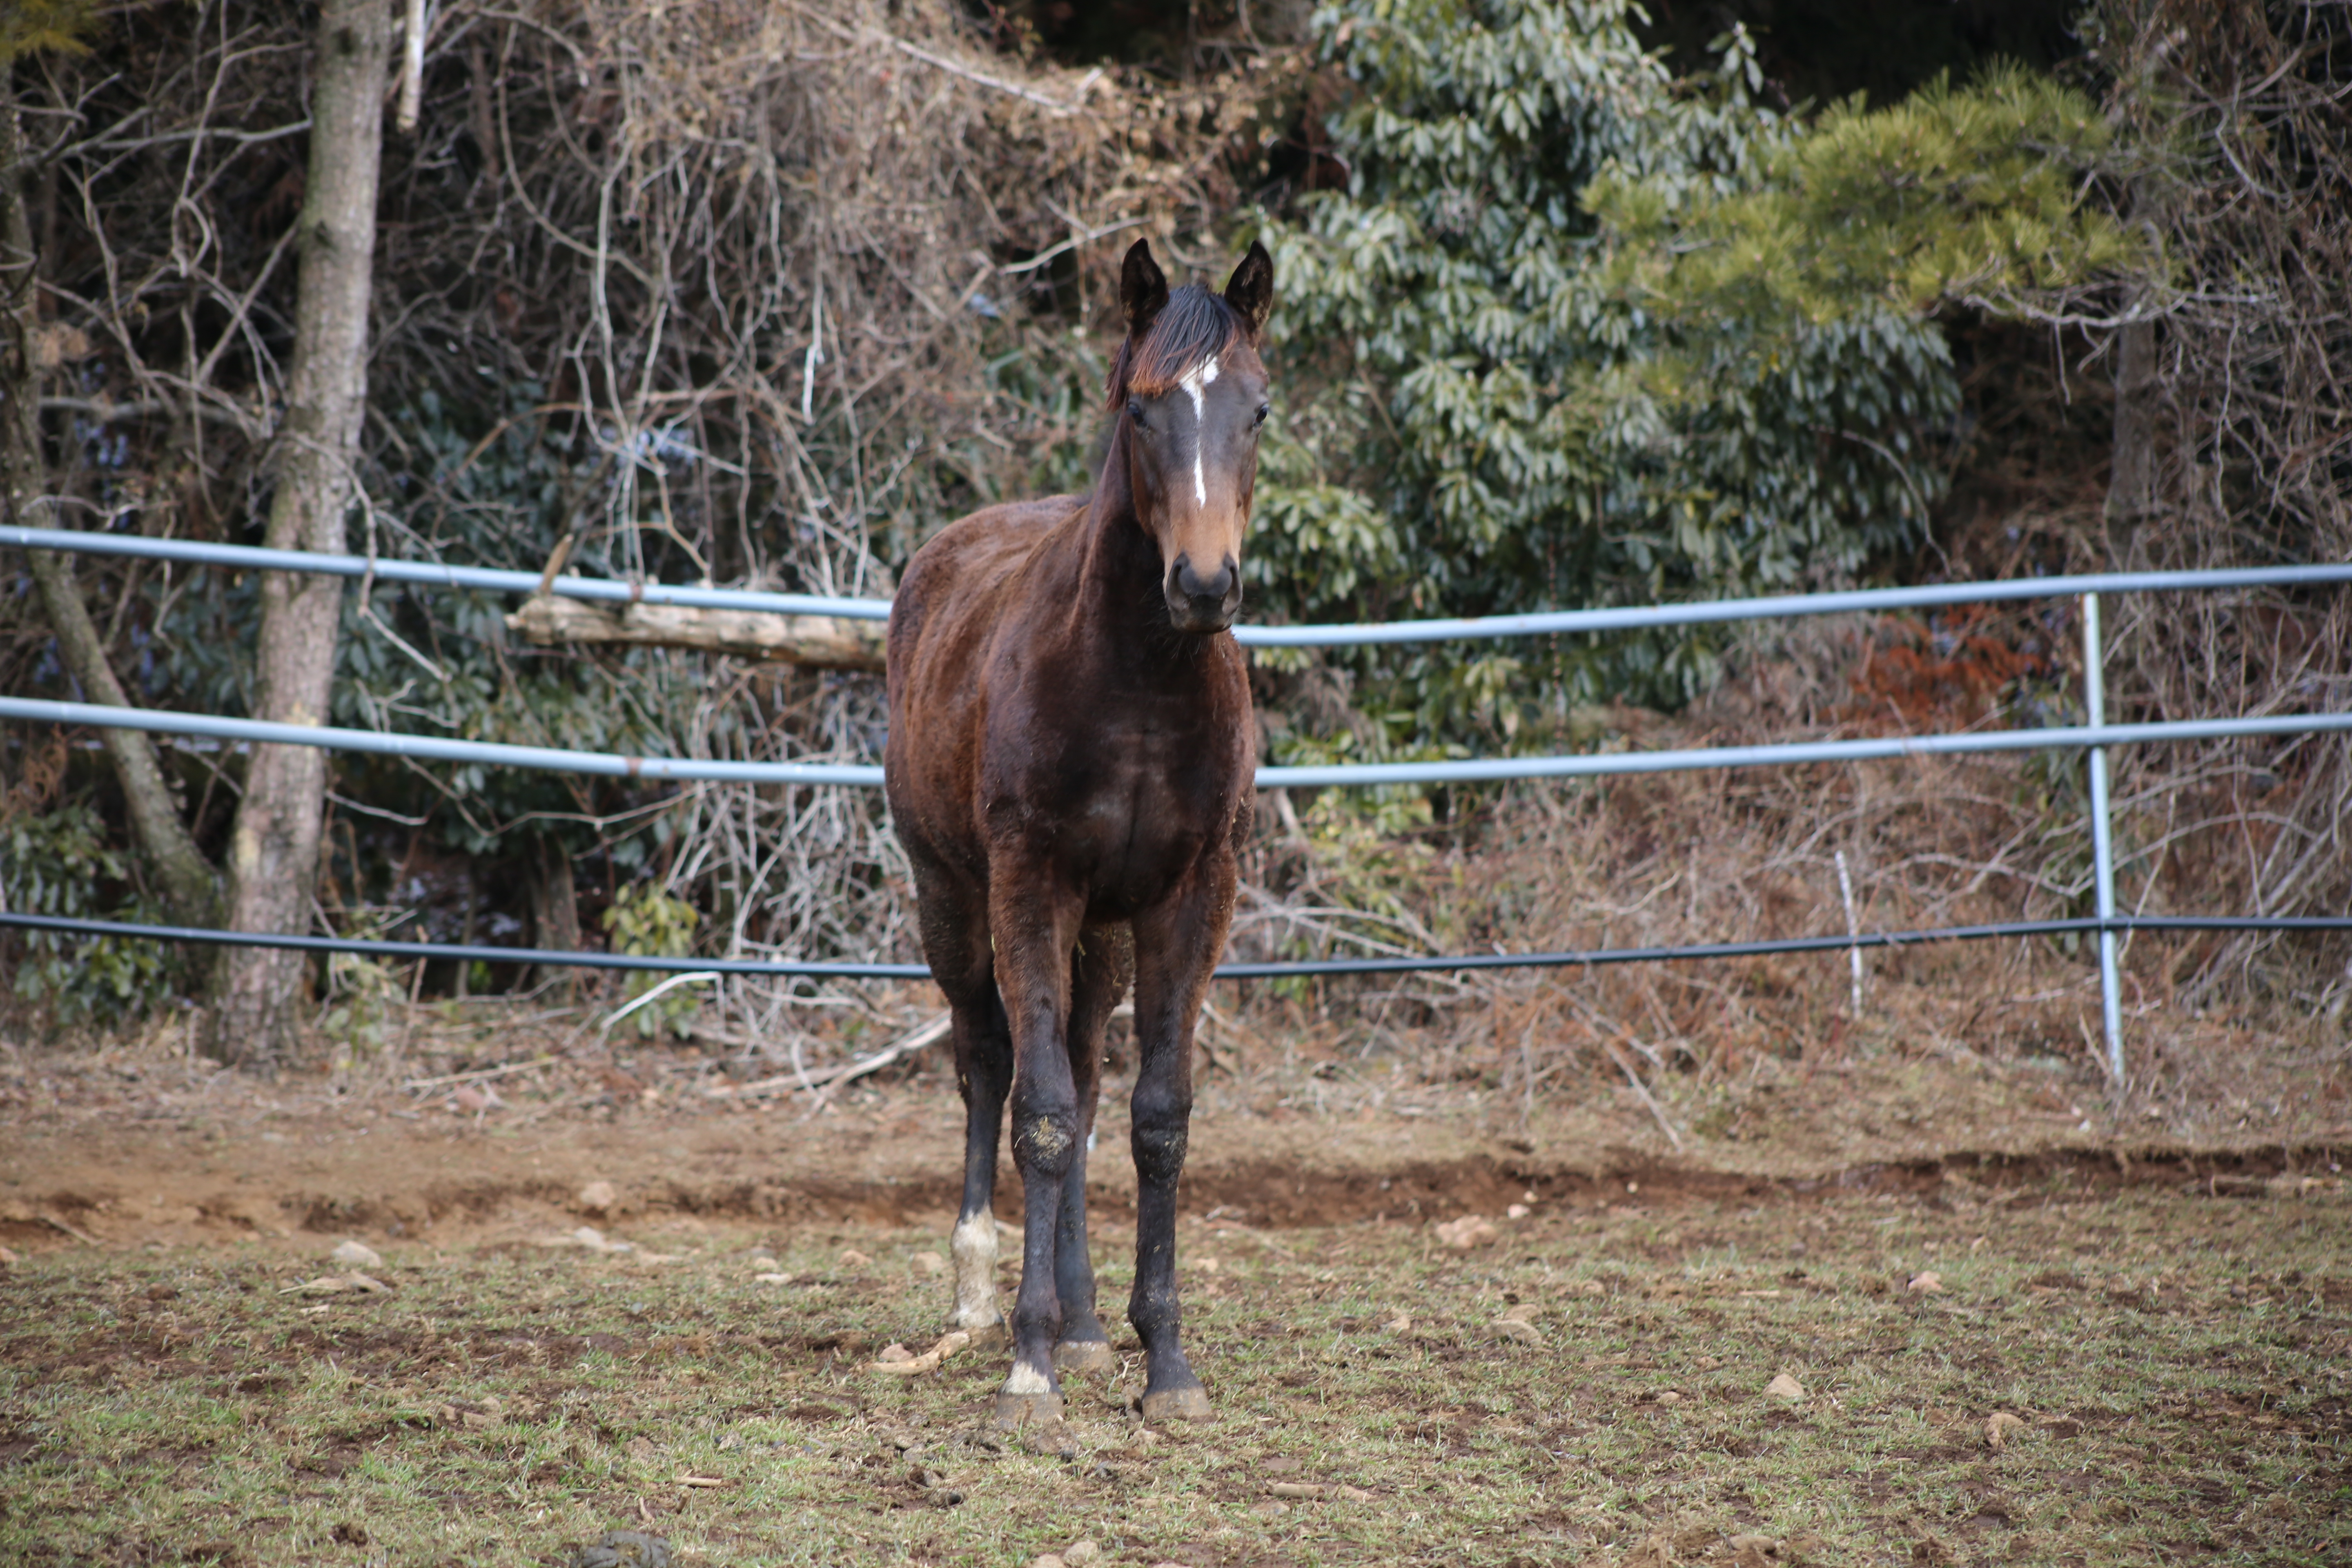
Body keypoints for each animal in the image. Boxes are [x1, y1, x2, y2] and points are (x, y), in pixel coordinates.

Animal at [884, 240, 1289, 1429]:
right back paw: (980, 1288)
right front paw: (1029, 1371)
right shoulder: (1030, 882)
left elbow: (1154, 1117)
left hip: (1101, 932)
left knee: (1080, 1066)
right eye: (1144, 411)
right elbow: (1043, 1115)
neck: (1140, 681)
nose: (1202, 584)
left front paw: (1164, 1361)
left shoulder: (1192, 894)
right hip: (949, 898)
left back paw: (1084, 1320)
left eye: (1257, 408)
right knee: (987, 1062)